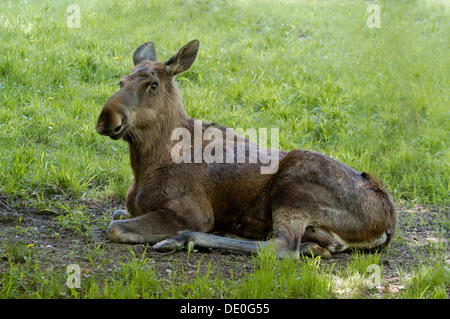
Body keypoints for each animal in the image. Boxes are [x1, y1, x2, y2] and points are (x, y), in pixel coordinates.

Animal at [96, 40, 398, 258]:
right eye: (120, 81)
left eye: (153, 85)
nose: (107, 119)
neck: (145, 165)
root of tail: (388, 223)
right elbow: (118, 213)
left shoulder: (192, 212)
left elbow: (114, 227)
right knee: (312, 248)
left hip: (294, 187)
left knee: (282, 247)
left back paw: (185, 239)